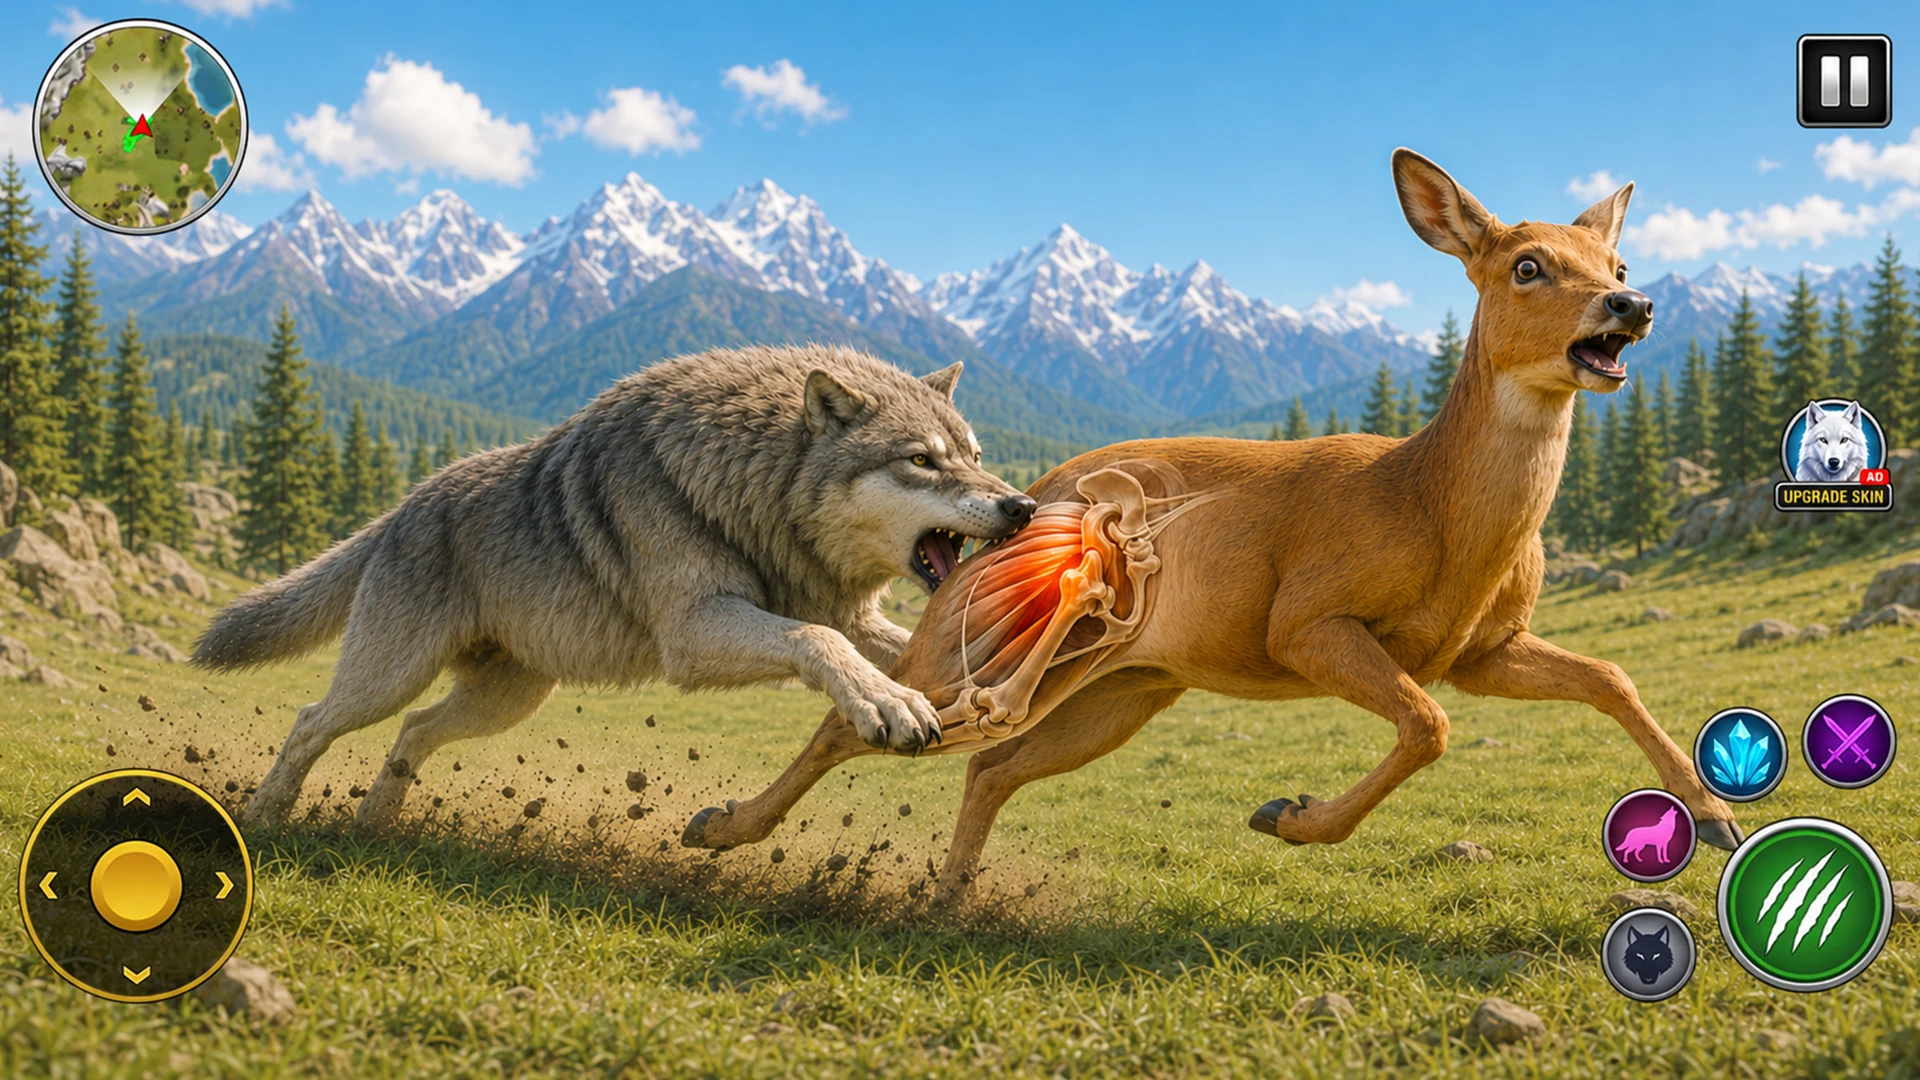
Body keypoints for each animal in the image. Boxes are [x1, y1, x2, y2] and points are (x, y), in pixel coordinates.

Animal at [194, 344, 1037, 825]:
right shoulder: (695, 633)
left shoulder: (842, 614)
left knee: (414, 733)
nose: (1022, 507)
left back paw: (376, 822)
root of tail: (405, 502)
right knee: (312, 719)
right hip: (390, 677)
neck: (751, 491)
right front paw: (887, 704)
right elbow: (819, 640)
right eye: (921, 461)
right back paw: (267, 816)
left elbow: (876, 641)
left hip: (505, 700)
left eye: (973, 455)